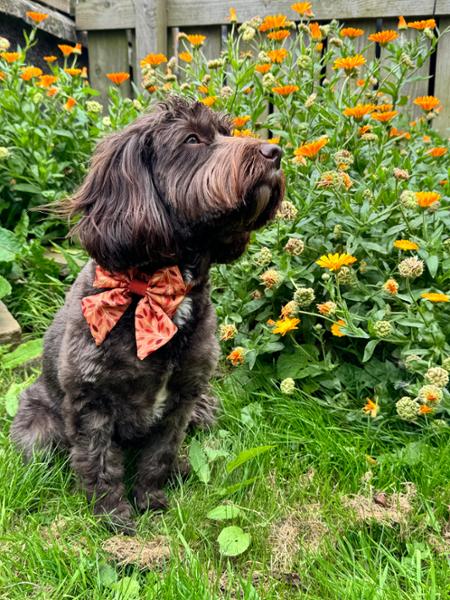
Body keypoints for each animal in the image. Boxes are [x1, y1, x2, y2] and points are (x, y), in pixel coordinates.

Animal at [10, 98, 284, 536]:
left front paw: (151, 499)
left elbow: (160, 454)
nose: (275, 151)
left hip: (207, 408)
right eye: (192, 139)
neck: (160, 291)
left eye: (226, 132)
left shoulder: (184, 398)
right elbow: (99, 461)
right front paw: (113, 515)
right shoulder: (92, 402)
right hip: (39, 430)